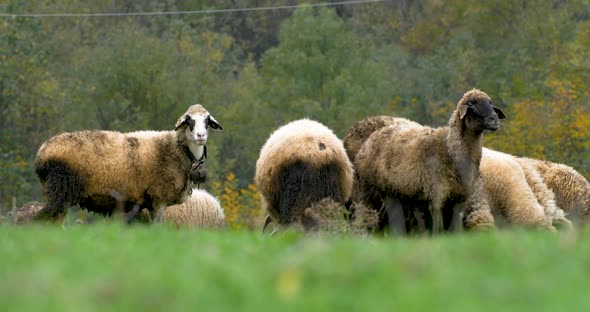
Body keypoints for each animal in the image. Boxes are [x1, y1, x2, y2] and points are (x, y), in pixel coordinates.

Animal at [34, 105, 224, 222]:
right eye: (189, 120)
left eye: (207, 121)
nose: (201, 136)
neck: (178, 149)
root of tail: (42, 153)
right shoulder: (159, 200)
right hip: (60, 192)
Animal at [354, 89, 506, 235]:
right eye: (471, 104)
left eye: (490, 102)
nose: (494, 119)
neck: (449, 150)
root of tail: (371, 138)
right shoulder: (436, 198)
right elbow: (438, 230)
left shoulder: (459, 201)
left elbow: (456, 231)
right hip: (370, 192)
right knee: (366, 217)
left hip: (400, 195)